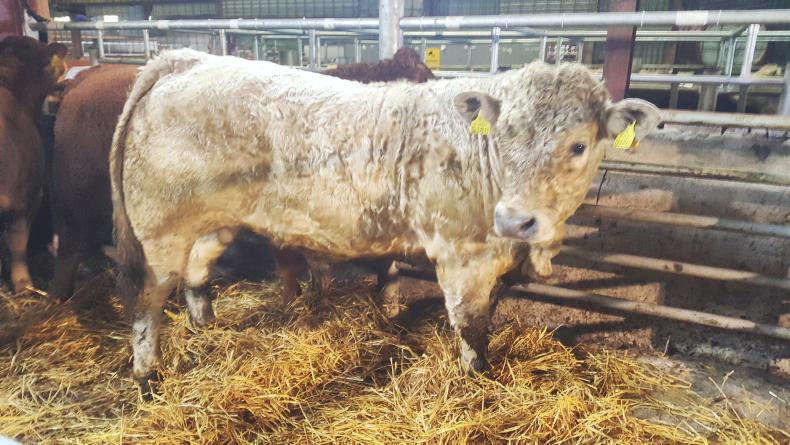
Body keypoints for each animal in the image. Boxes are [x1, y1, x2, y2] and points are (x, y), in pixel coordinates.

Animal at [110, 49, 659, 381]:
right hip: (158, 231)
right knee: (147, 300)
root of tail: (183, 59)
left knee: (197, 275)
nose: (514, 220)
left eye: (579, 145)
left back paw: (207, 330)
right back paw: (147, 376)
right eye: (503, 138)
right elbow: (472, 324)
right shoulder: (463, 254)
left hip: (214, 222)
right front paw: (477, 379)